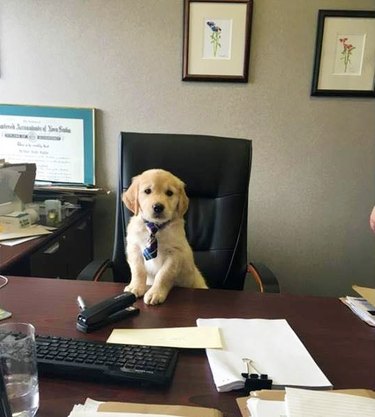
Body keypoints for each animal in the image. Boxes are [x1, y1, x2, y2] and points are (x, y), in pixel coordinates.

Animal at [122, 167, 207, 304]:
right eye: (147, 191)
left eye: (169, 193)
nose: (158, 207)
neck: (155, 227)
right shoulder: (134, 248)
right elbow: (138, 270)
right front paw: (135, 287)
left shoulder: (175, 253)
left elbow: (163, 275)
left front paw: (155, 293)